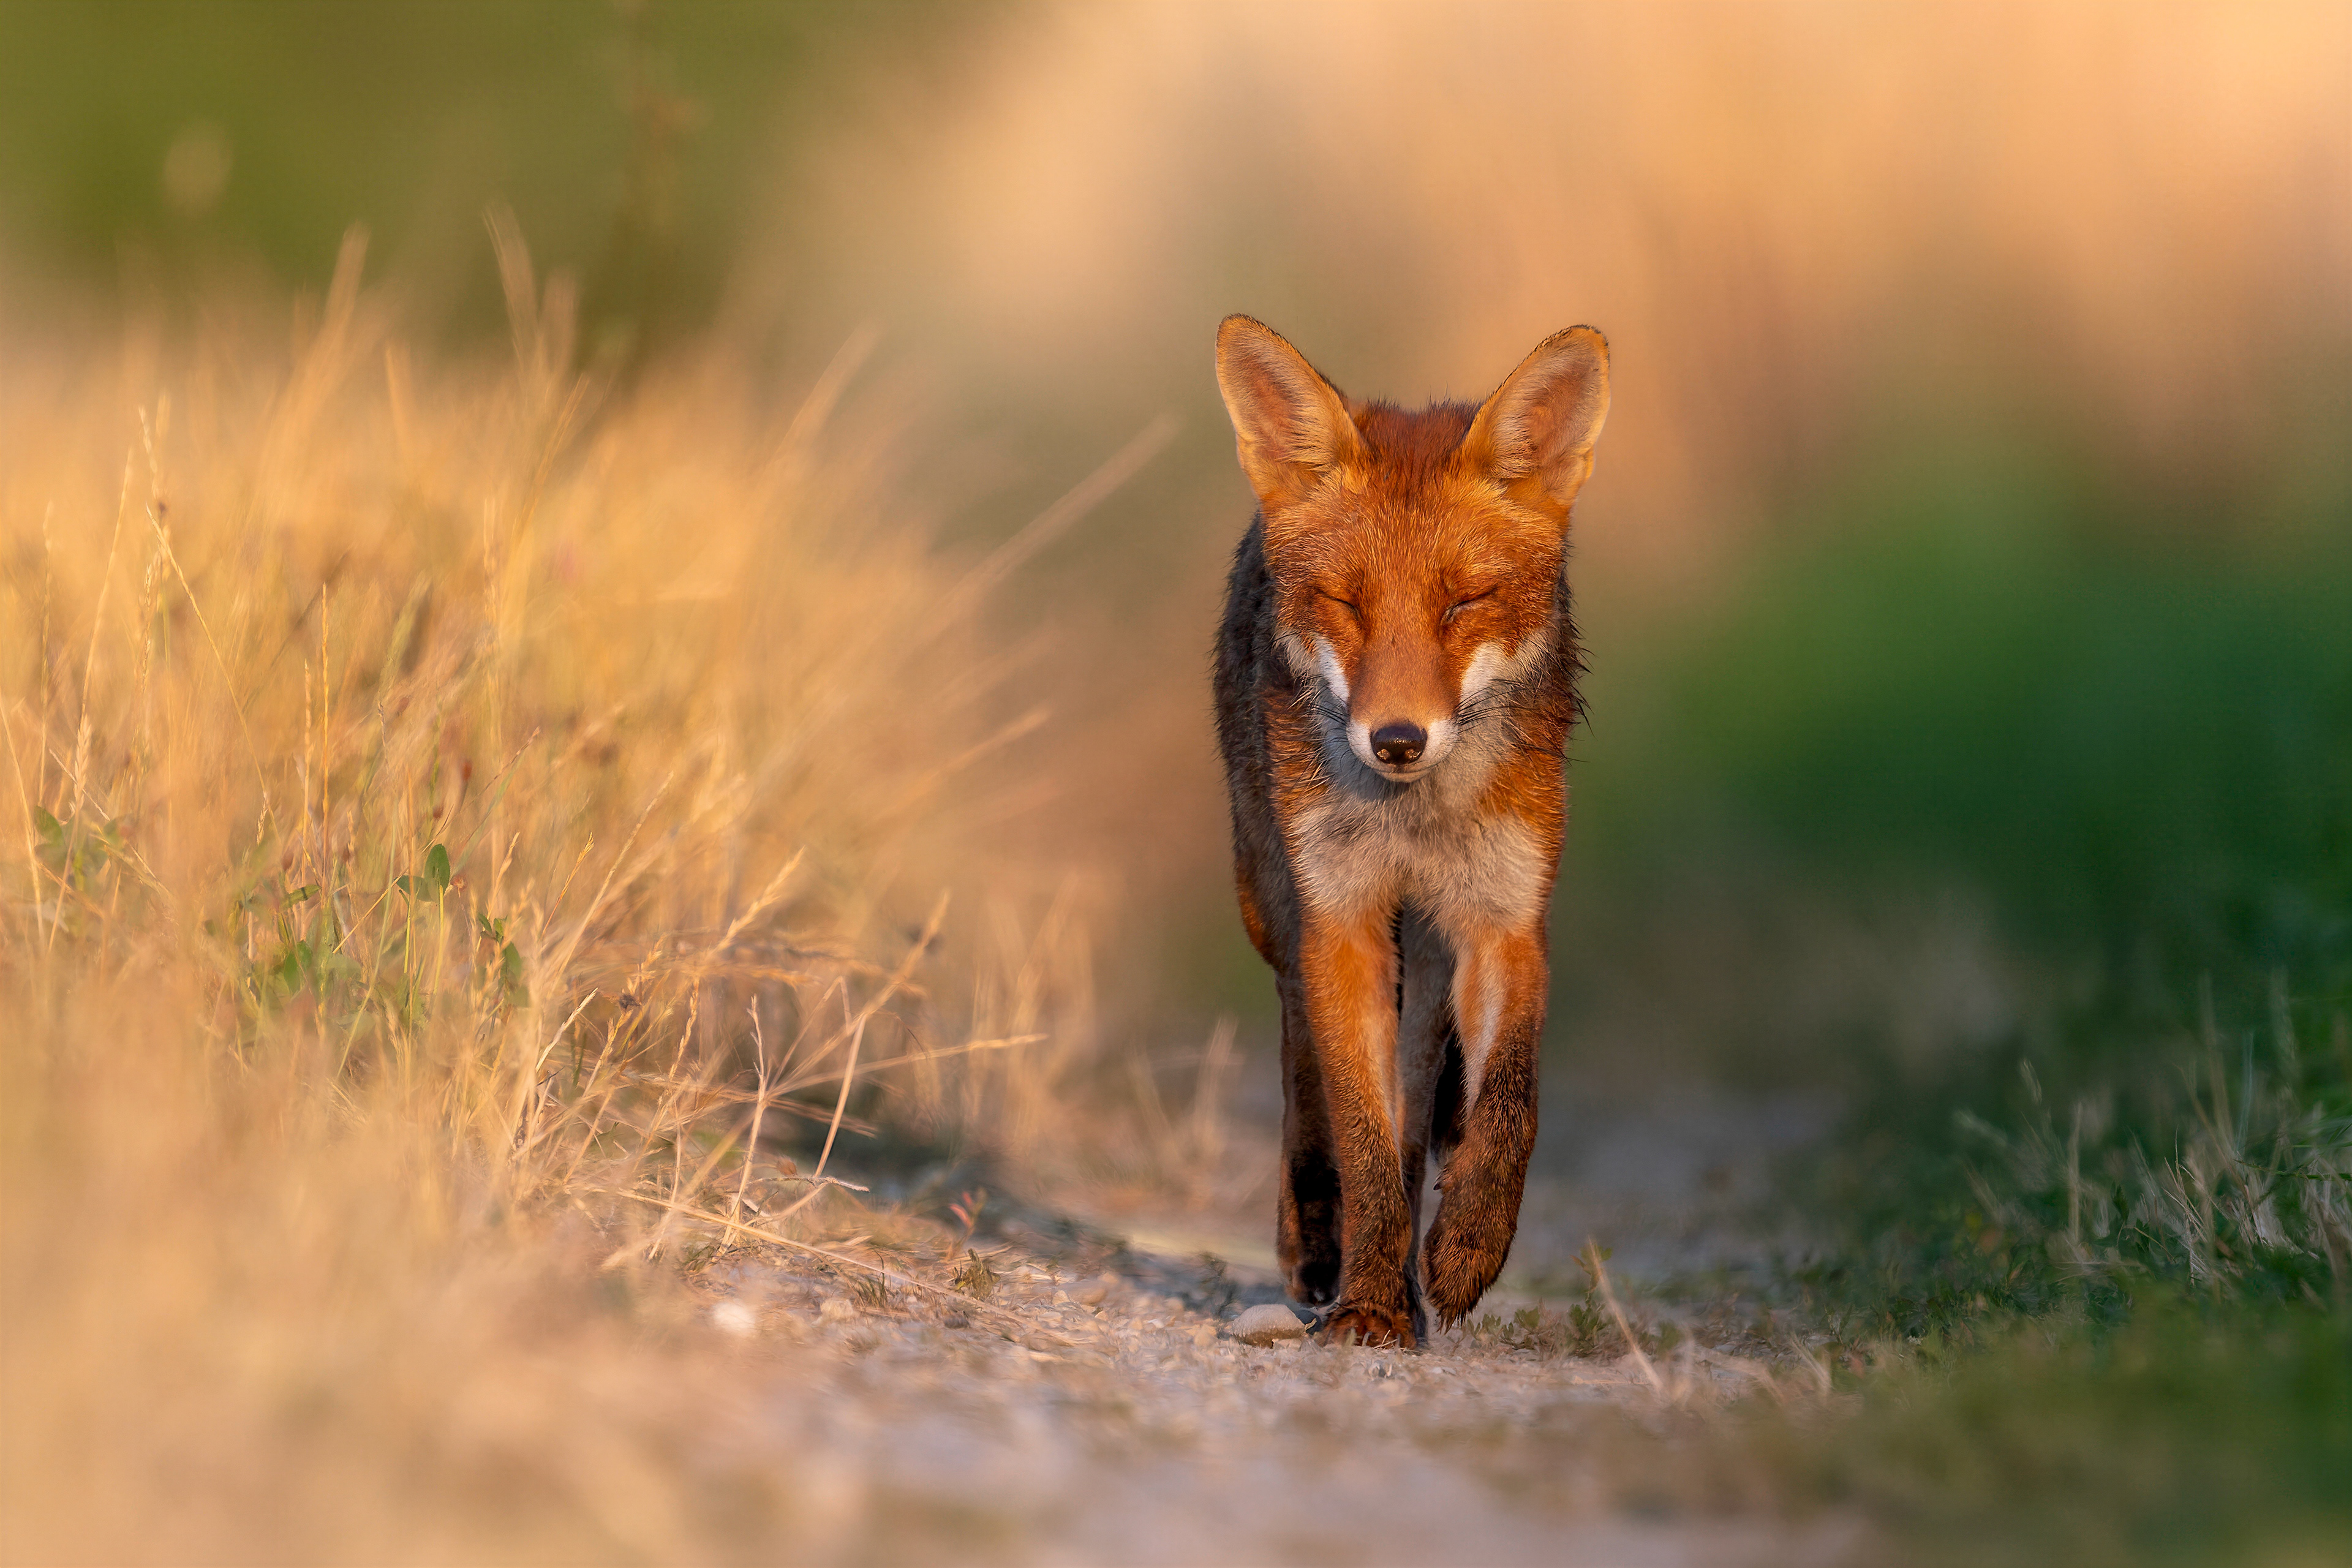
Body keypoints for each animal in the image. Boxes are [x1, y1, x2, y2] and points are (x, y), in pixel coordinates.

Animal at [1211, 316, 1609, 1348]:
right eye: (1347, 603)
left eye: (1462, 603)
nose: (1396, 740)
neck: (1416, 822)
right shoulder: (1340, 923)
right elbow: (1359, 1134)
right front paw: (1370, 1302)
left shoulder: (1505, 919)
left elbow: (1508, 1101)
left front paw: (1467, 1248)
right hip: (1274, 905)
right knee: (1303, 1071)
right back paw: (1319, 1243)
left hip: (1427, 954)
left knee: (1423, 1095)